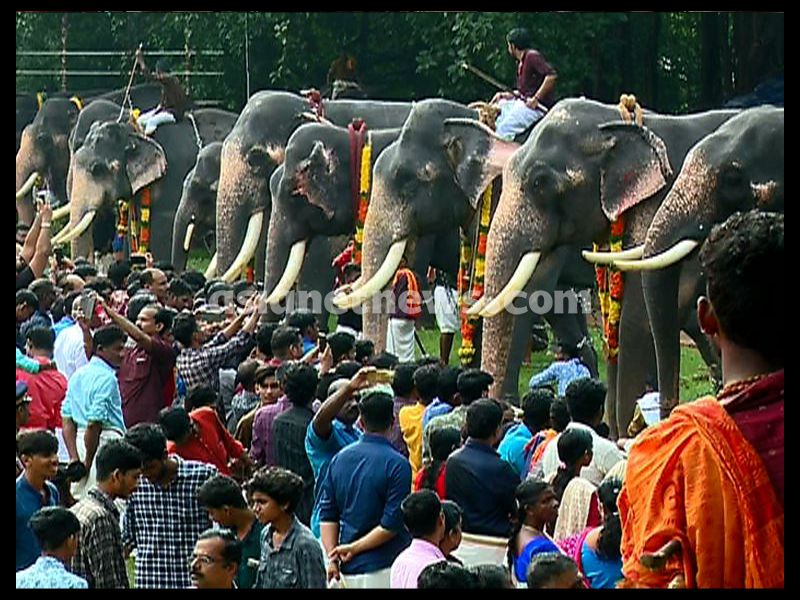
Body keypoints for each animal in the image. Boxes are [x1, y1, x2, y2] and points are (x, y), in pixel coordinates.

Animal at [472, 97, 740, 436]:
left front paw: (624, 437)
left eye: (540, 182)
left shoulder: (654, 208)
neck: (613, 122)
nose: (506, 416)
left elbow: (634, 320)